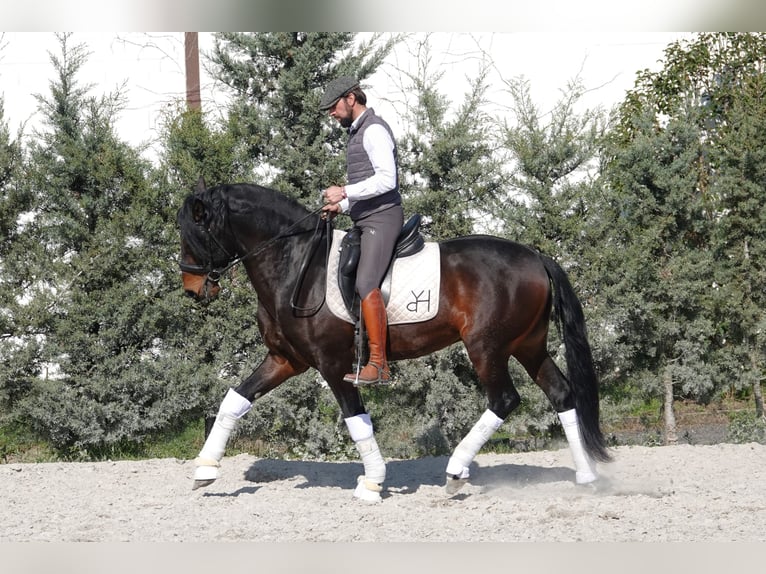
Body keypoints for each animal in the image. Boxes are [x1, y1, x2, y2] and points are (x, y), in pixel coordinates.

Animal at [177, 178, 612, 502]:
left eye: (192, 231)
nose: (193, 290)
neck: (297, 264)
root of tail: (536, 257)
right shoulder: (285, 359)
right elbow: (234, 399)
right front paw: (204, 469)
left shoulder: (333, 365)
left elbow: (356, 420)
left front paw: (372, 482)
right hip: (527, 346)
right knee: (561, 393)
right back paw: (587, 477)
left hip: (487, 348)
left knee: (504, 399)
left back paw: (456, 469)